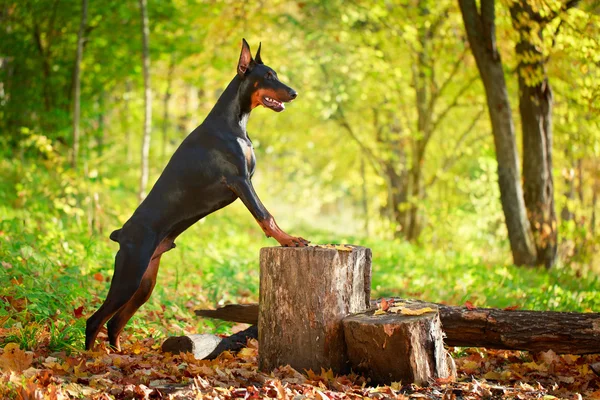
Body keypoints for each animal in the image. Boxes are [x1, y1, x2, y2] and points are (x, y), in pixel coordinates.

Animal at [85, 38, 310, 350]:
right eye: (267, 76)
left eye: (275, 74)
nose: (294, 93)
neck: (233, 123)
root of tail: (121, 234)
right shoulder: (240, 180)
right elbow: (266, 215)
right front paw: (289, 240)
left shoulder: (245, 180)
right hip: (129, 275)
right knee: (94, 320)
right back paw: (90, 357)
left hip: (144, 283)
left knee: (114, 322)